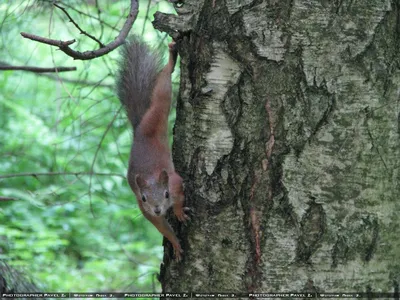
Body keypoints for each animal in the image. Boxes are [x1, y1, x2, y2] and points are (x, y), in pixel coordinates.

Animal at [115, 36, 189, 262]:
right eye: (145, 198)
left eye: (165, 194)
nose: (157, 209)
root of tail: (139, 128)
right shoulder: (144, 210)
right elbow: (162, 228)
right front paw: (175, 244)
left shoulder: (175, 182)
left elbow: (179, 195)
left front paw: (178, 211)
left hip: (157, 113)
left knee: (162, 91)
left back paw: (172, 59)